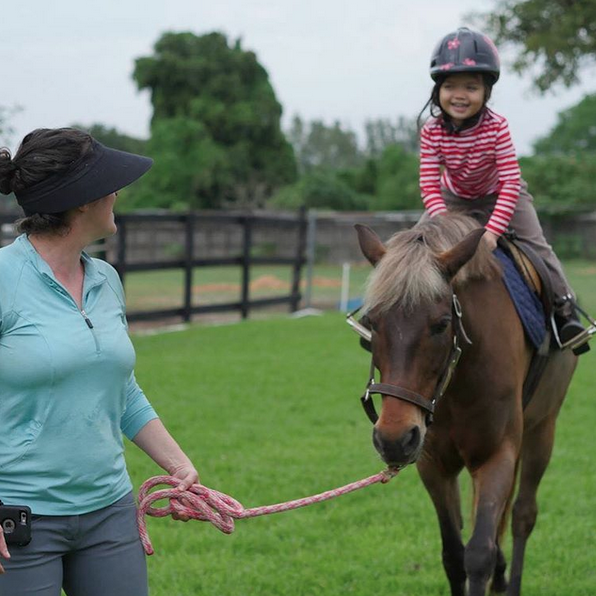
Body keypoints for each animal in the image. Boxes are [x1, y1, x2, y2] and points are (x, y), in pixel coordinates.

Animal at [356, 214, 576, 596]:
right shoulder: (433, 465)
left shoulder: (496, 455)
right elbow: (453, 555)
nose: (394, 438)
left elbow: (478, 554)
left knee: (522, 515)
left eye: (442, 324)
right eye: (371, 322)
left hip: (542, 428)